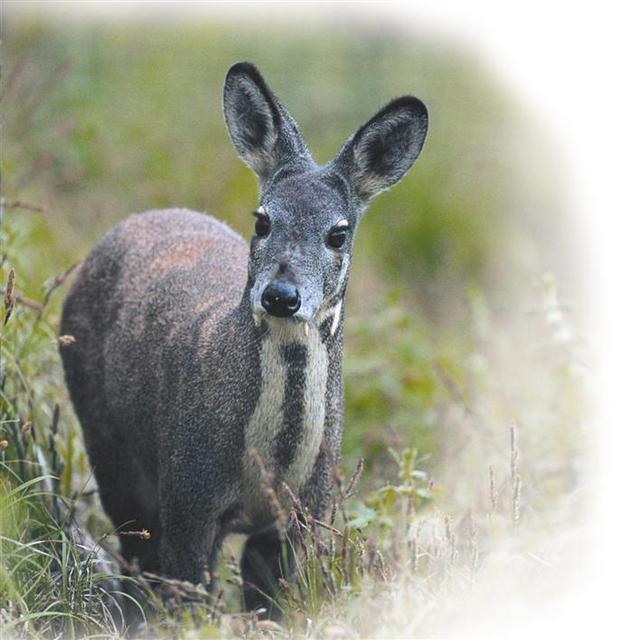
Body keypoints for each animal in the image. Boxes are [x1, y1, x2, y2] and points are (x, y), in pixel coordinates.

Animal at [60, 62, 428, 616]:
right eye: (263, 219)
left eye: (338, 233)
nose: (281, 295)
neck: (270, 468)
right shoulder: (188, 496)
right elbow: (187, 599)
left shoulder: (302, 515)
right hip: (108, 442)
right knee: (134, 553)